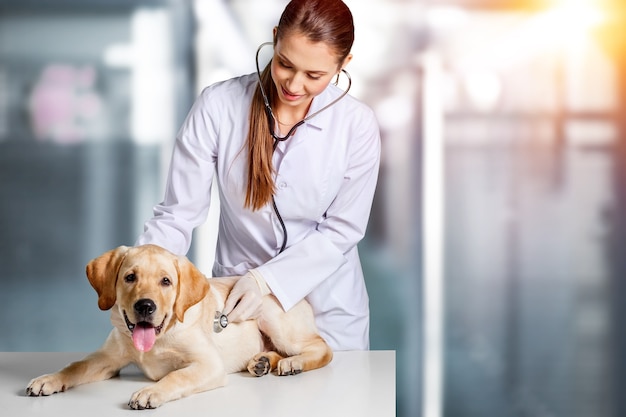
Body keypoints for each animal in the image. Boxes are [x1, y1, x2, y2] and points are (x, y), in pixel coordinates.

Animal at [25, 242, 332, 408]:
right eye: (130, 277)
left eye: (166, 281)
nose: (145, 306)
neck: (160, 338)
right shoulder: (107, 358)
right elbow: (75, 365)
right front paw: (48, 379)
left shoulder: (208, 364)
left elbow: (177, 376)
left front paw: (150, 392)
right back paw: (262, 361)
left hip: (273, 317)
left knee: (322, 348)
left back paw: (293, 363)